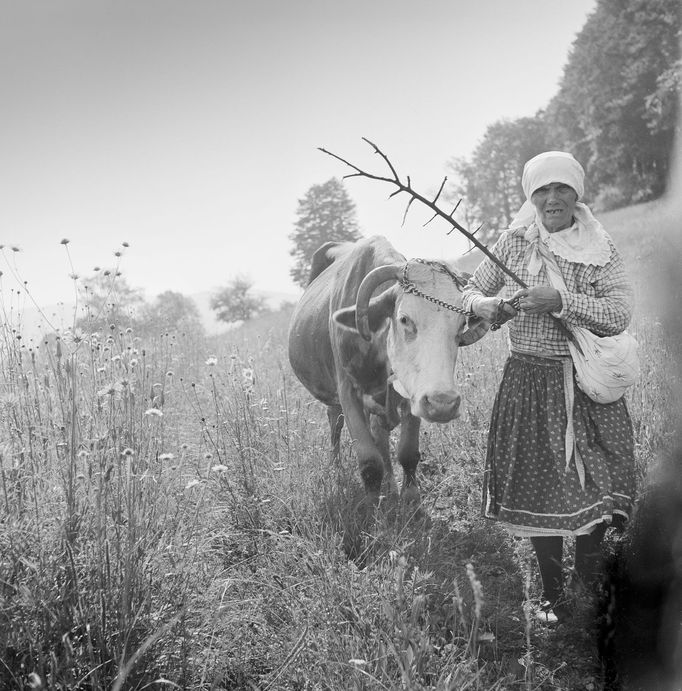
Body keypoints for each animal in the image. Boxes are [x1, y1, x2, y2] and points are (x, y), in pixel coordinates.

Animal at [284, 235, 486, 506]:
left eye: (461, 323)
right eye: (404, 319)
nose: (442, 403)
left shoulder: (412, 394)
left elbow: (407, 453)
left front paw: (410, 495)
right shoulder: (349, 394)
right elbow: (369, 461)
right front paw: (372, 502)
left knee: (379, 433)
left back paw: (389, 483)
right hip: (335, 401)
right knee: (335, 423)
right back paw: (336, 468)